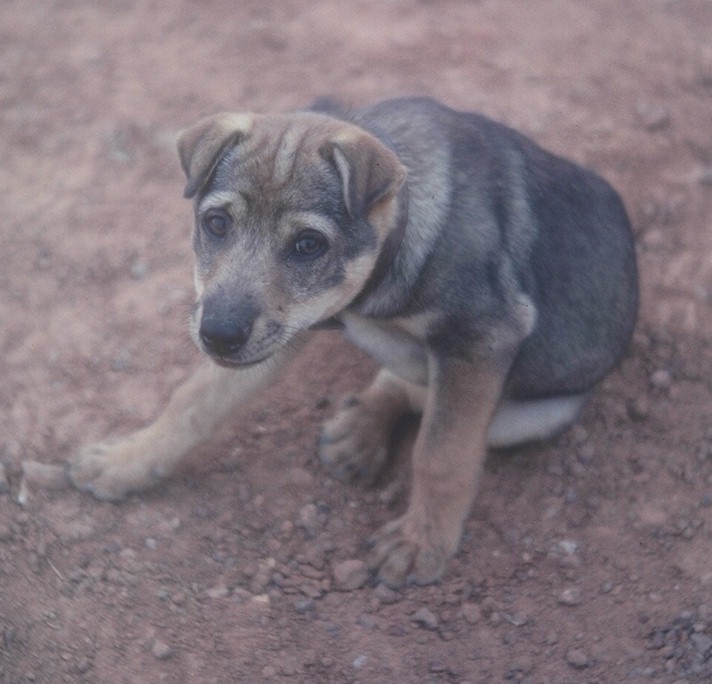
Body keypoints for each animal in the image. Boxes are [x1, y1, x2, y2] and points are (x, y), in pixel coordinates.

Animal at [71, 97, 640, 588]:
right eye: (216, 223)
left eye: (308, 244)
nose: (218, 336)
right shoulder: (285, 328)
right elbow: (195, 400)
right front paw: (128, 460)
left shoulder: (483, 339)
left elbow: (442, 452)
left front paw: (421, 541)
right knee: (404, 380)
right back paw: (360, 428)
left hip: (532, 414)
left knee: (429, 399)